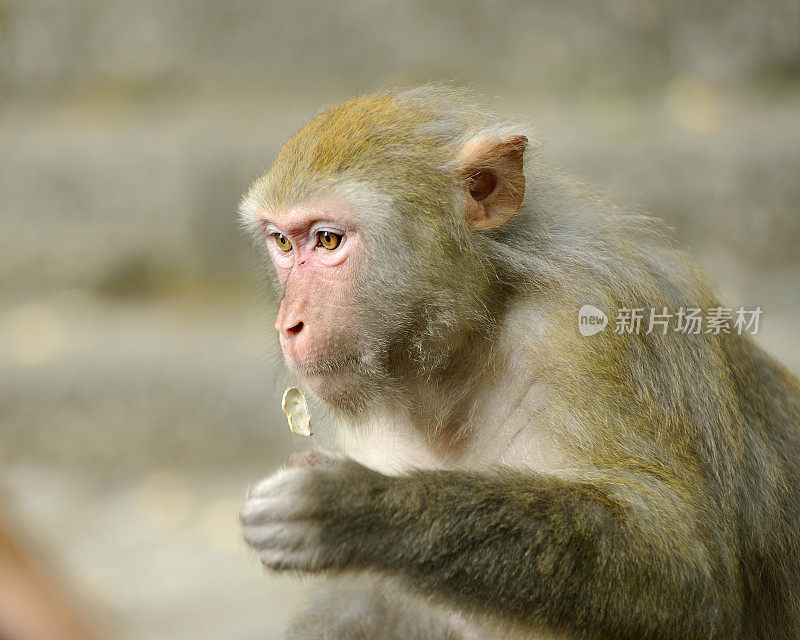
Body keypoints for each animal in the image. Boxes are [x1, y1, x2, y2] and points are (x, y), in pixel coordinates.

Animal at [236, 86, 800, 640]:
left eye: (328, 239)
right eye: (282, 241)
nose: (289, 325)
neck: (469, 334)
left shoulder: (594, 326)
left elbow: (686, 567)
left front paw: (361, 509)